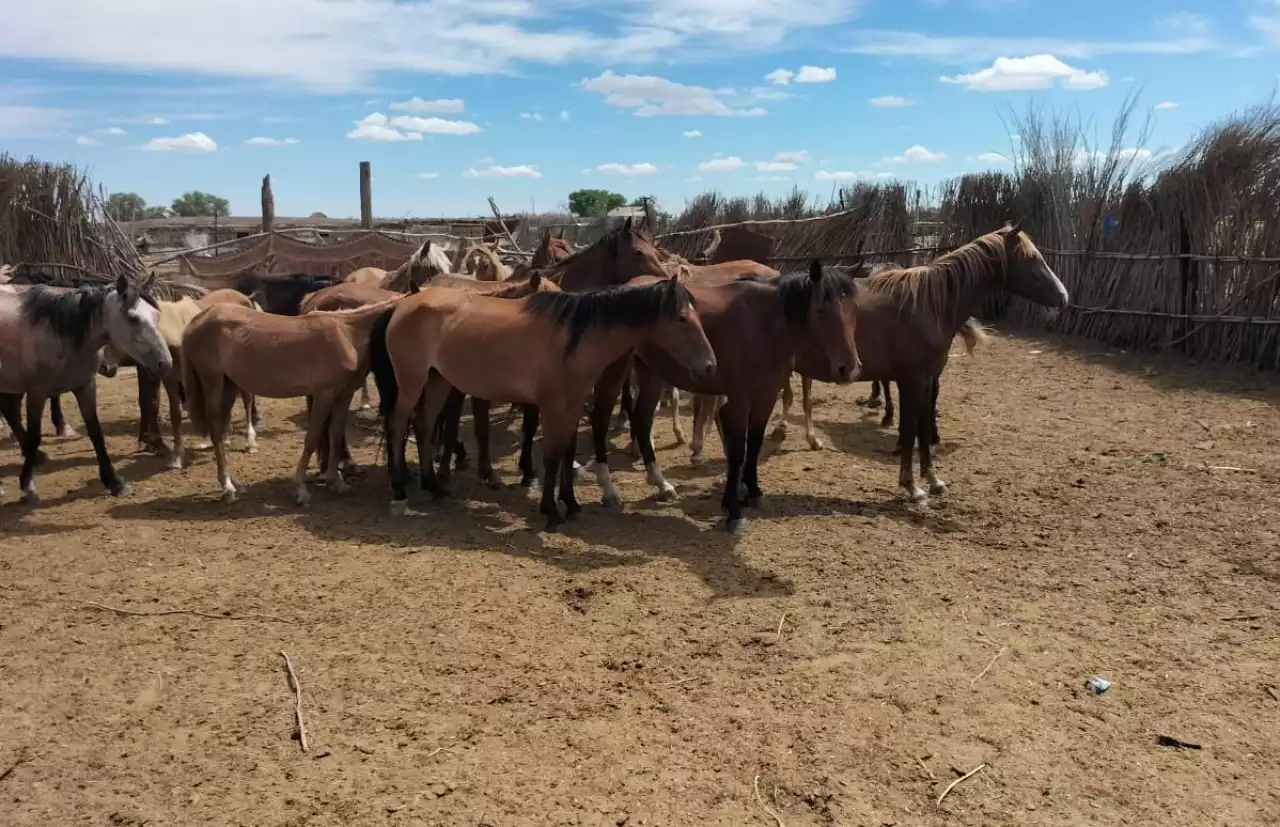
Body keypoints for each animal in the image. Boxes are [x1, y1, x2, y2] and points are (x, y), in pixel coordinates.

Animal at [0, 276, 172, 504]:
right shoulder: (37, 392)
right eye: (132, 318)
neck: (61, 333)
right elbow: (34, 436)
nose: (165, 364)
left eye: (157, 315)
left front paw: (115, 482)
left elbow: (96, 433)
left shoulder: (85, 387)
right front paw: (27, 486)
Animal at [179, 298, 399, 504]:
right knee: (216, 431)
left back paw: (235, 484)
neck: (348, 335)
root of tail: (196, 321)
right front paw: (300, 488)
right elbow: (312, 438)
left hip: (229, 386)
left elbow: (336, 436)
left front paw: (336, 481)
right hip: (213, 383)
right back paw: (227, 487)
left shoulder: (342, 397)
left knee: (222, 431)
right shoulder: (323, 395)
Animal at [368, 272, 721, 532]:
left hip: (438, 381)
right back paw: (400, 492)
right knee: (398, 426)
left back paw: (436, 489)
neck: (573, 338)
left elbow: (566, 450)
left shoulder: (573, 403)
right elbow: (551, 454)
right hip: (412, 382)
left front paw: (571, 502)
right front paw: (551, 511)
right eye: (681, 318)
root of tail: (401, 306)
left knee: (424, 427)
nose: (709, 366)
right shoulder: (552, 405)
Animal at [586, 262, 860, 540]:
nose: (848, 369)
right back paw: (608, 490)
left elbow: (755, 443)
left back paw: (661, 484)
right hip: (616, 371)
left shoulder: (766, 395)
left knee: (642, 419)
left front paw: (754, 493)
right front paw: (734, 511)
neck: (762, 326)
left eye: (853, 309)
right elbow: (737, 451)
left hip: (651, 373)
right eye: (821, 310)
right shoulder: (739, 399)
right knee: (600, 419)